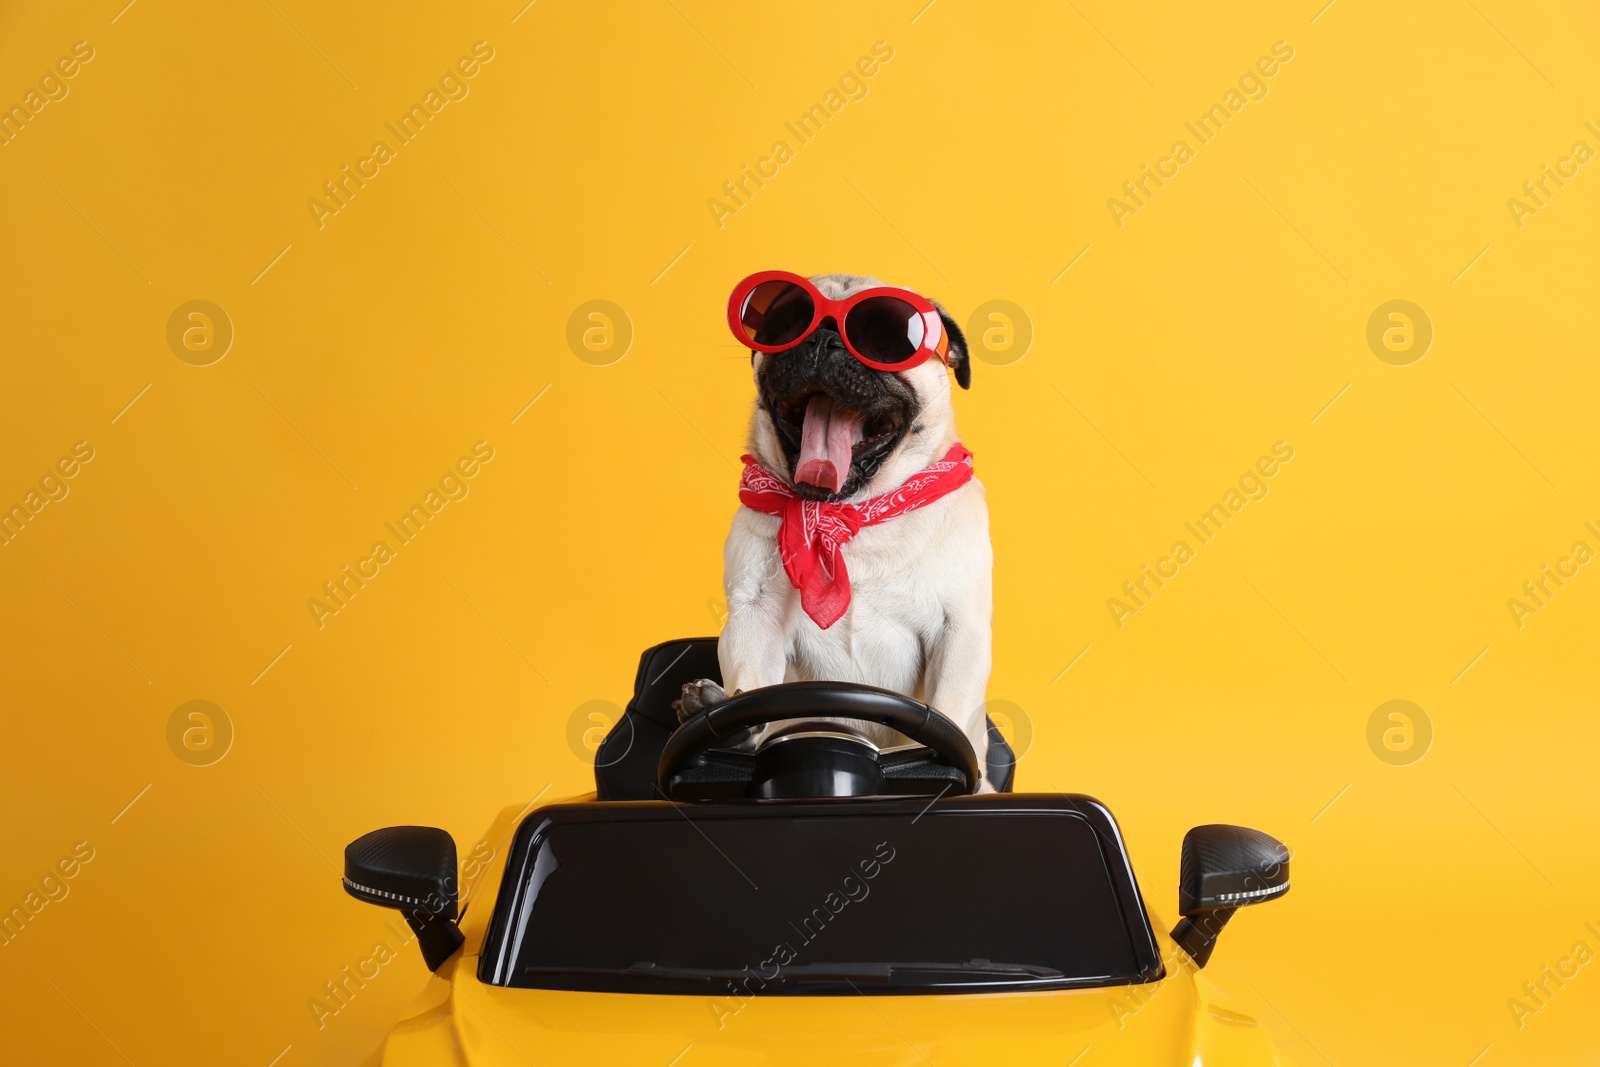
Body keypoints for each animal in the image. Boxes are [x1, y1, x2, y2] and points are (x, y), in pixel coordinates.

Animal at [672, 273, 992, 783]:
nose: (822, 339)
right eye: (785, 325)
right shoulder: (755, 618)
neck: (852, 516)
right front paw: (727, 725)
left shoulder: (958, 631)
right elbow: (752, 680)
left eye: (885, 339)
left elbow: (948, 708)